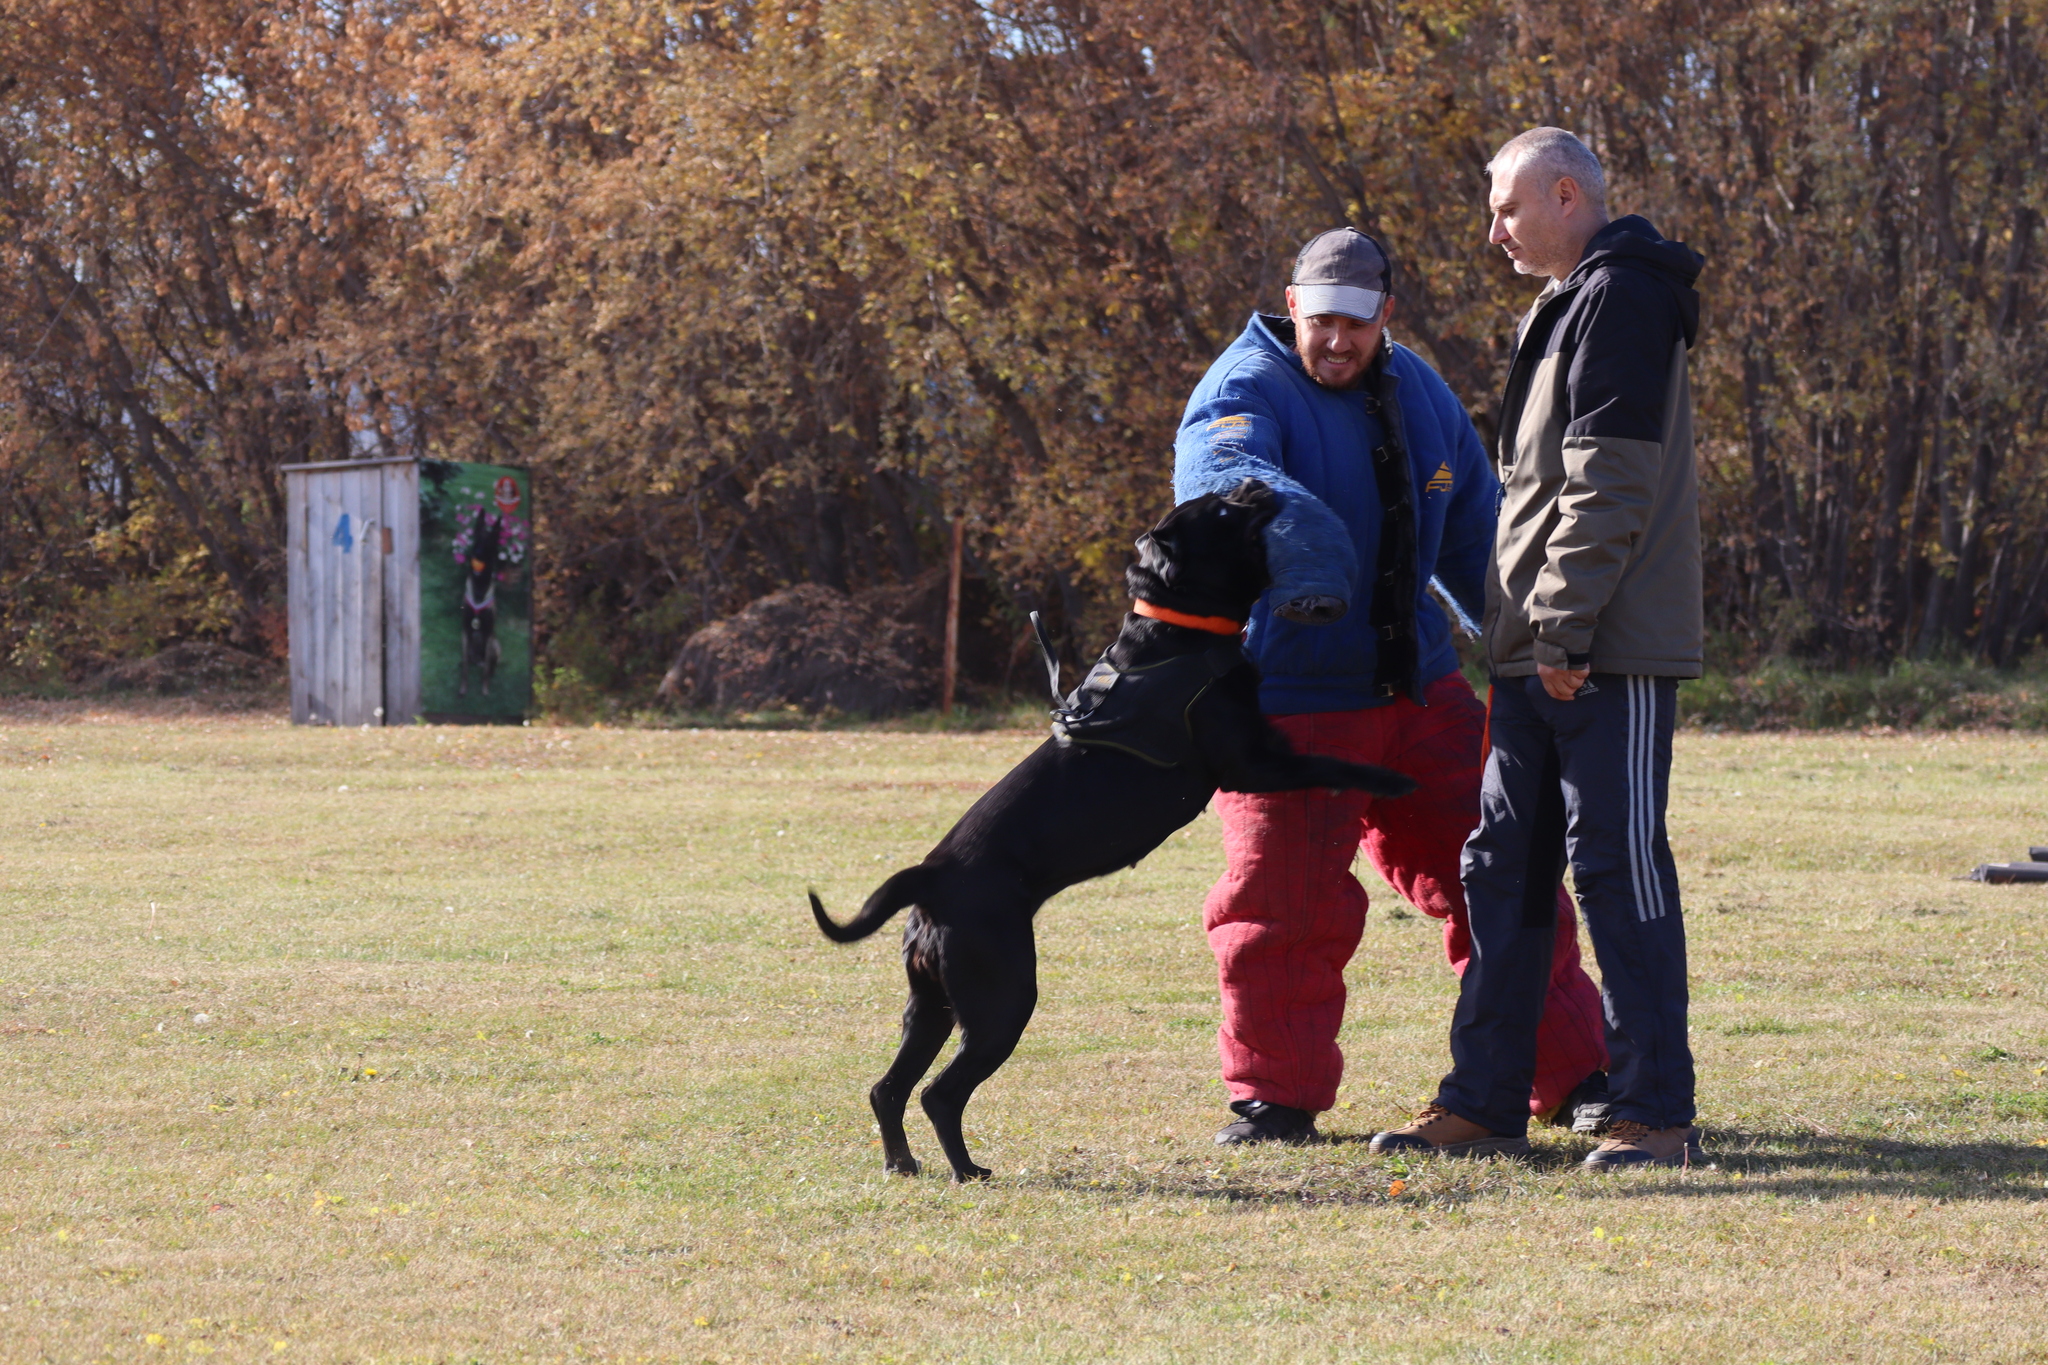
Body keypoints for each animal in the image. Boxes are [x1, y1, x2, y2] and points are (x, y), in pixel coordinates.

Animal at [806, 482, 1417, 1186]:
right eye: (1222, 511)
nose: (1253, 484)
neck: (1179, 634)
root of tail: (931, 879)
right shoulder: (1251, 764)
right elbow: (1331, 763)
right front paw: (1392, 779)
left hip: (930, 1005)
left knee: (888, 1087)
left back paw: (903, 1164)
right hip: (1001, 998)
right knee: (940, 1092)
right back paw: (967, 1170)